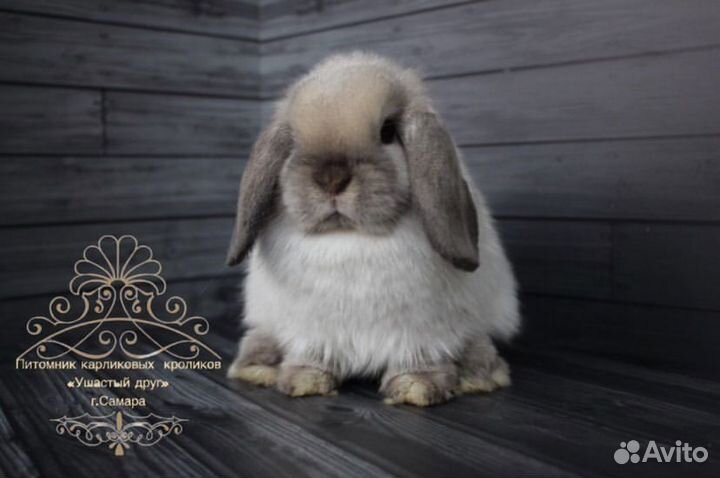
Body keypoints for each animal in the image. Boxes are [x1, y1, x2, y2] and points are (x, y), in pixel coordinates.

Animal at [225, 52, 520, 407]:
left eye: (388, 132)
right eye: (293, 142)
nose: (331, 178)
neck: (349, 237)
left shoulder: (422, 332)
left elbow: (420, 358)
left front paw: (416, 388)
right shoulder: (312, 330)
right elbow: (311, 355)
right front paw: (304, 381)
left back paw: (479, 375)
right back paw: (257, 366)